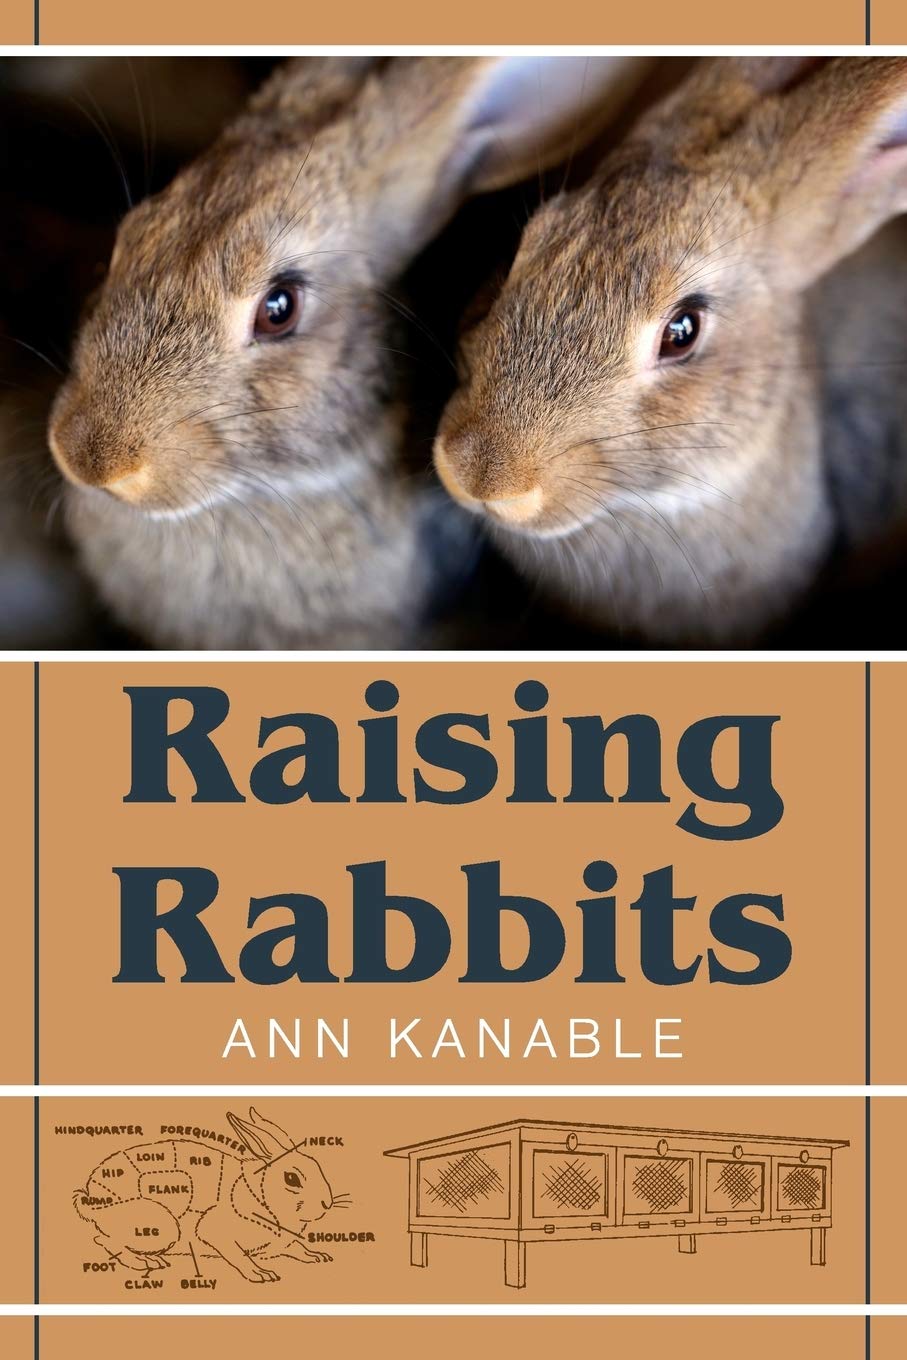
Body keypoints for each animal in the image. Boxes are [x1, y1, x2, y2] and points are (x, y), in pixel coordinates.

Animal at [73, 1107, 346, 1283]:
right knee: (104, 1240)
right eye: (292, 1179)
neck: (261, 1197)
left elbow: (298, 1247)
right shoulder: (215, 1232)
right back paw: (147, 1263)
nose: (326, 1203)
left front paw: (318, 1256)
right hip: (161, 1226)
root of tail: (91, 1196)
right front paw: (261, 1274)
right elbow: (238, 1255)